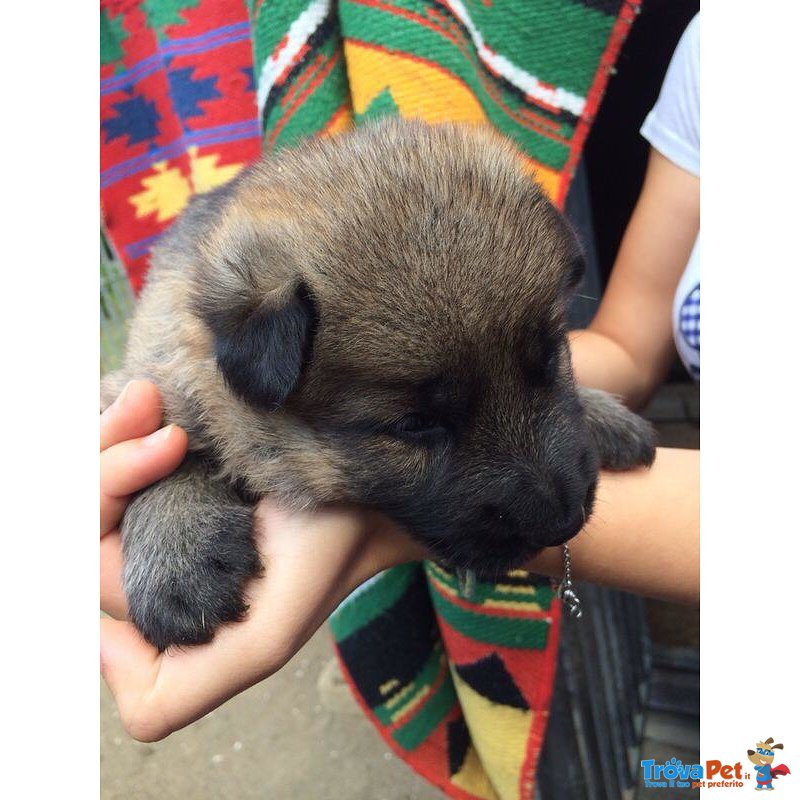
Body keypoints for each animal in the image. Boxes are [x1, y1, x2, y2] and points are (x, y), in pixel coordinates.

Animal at [103, 119, 656, 648]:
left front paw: (603, 414)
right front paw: (180, 559)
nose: (564, 522)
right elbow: (170, 453)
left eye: (551, 360)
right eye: (415, 424)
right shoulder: (144, 382)